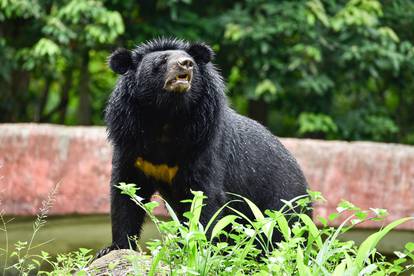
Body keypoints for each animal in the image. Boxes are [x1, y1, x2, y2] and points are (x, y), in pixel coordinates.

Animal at [98, 38, 308, 256]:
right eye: (162, 60)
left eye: (190, 60)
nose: (186, 64)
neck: (166, 116)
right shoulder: (130, 142)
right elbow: (126, 193)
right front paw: (114, 248)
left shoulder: (202, 143)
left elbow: (204, 197)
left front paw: (200, 248)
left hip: (280, 202)